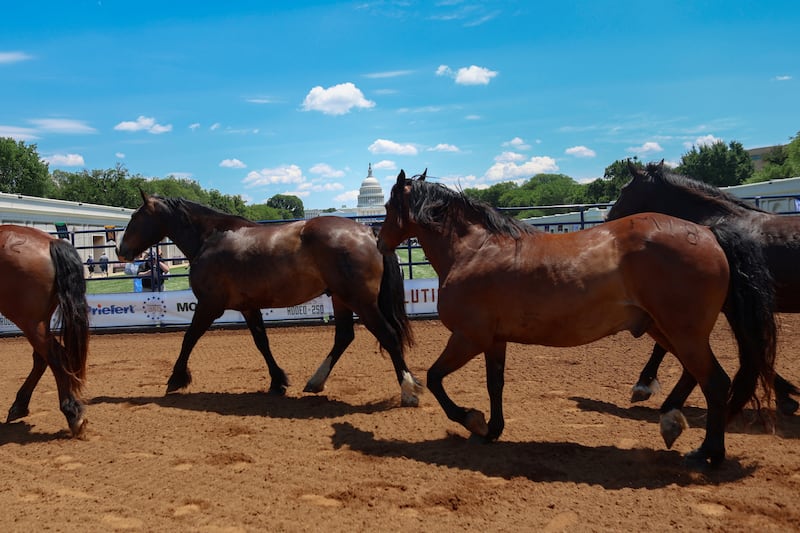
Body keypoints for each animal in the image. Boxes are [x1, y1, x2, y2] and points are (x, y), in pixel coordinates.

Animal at [1, 225, 90, 436]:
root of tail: (50, 242)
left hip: (30, 322)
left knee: (55, 356)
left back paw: (72, 414)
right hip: (39, 321)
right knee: (43, 358)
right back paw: (19, 405)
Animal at [116, 192, 422, 406]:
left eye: (135, 218)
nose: (121, 251)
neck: (211, 238)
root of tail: (369, 231)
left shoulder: (209, 306)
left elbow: (189, 338)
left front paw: (176, 379)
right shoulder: (249, 307)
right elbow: (262, 342)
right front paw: (278, 381)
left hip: (361, 301)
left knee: (389, 335)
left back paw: (408, 390)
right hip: (341, 299)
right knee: (345, 336)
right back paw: (316, 381)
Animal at [377, 170, 776, 467]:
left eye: (387, 204)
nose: (379, 242)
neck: (474, 250)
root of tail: (708, 233)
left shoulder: (468, 337)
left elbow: (435, 377)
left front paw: (472, 421)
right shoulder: (494, 341)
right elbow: (495, 385)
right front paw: (492, 429)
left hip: (683, 333)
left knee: (715, 382)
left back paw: (708, 451)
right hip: (664, 329)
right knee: (699, 377)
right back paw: (674, 426)